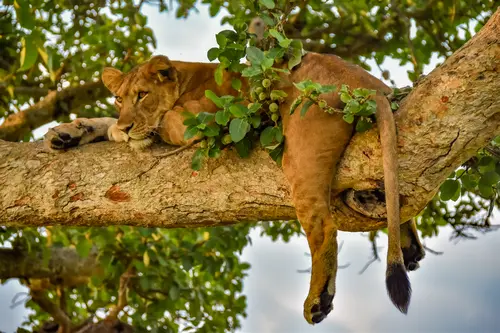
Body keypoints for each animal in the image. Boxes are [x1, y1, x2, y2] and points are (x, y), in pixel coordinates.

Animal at [45, 53, 424, 322]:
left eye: (142, 95)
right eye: (119, 99)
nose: (126, 126)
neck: (186, 77)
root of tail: (368, 85)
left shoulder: (206, 119)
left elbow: (163, 122)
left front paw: (118, 131)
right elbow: (107, 123)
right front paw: (69, 133)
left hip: (302, 151)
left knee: (324, 227)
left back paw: (318, 300)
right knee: (397, 200)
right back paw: (409, 247)